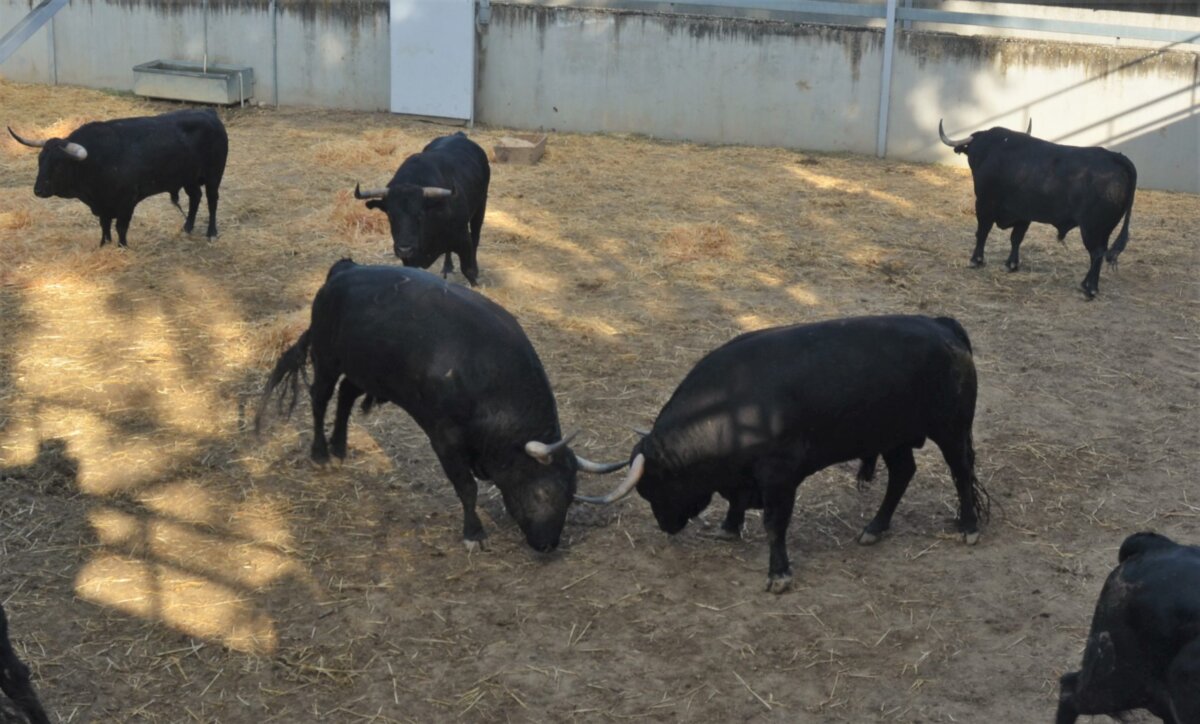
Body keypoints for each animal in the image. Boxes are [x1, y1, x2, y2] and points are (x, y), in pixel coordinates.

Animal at [8, 109, 227, 248]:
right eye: (40, 160)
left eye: (59, 164)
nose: (38, 190)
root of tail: (209, 113)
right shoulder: (103, 205)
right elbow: (105, 225)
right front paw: (104, 245)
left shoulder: (127, 202)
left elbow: (121, 227)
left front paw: (123, 247)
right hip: (188, 178)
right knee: (195, 197)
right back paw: (187, 227)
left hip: (213, 175)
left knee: (212, 201)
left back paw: (211, 233)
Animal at [255, 259, 624, 553]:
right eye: (543, 492)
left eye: (571, 493)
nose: (548, 545)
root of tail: (345, 269)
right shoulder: (445, 437)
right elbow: (467, 487)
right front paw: (474, 533)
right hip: (327, 358)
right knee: (320, 398)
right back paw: (320, 453)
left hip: (364, 369)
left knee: (346, 395)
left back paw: (340, 448)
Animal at [354, 132, 490, 286]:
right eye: (390, 215)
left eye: (420, 215)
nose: (404, 249)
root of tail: (459, 135)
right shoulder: (409, 259)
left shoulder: (463, 240)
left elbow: (468, 270)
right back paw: (447, 267)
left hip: (481, 206)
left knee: (476, 237)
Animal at [576, 315, 989, 594]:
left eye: (655, 488)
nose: (666, 525)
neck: (729, 404)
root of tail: (941, 325)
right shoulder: (744, 476)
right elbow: (737, 502)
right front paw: (729, 528)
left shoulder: (779, 477)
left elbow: (775, 524)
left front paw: (778, 574)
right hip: (894, 438)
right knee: (903, 473)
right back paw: (874, 528)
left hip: (951, 430)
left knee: (960, 471)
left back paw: (968, 526)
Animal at [938, 119, 1136, 298]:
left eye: (975, 150)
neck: (992, 151)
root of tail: (1115, 157)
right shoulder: (1023, 214)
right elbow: (1016, 238)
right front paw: (1011, 264)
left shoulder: (985, 204)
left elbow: (982, 232)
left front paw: (976, 260)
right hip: (1103, 230)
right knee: (1100, 253)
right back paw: (1086, 284)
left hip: (1092, 229)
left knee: (1096, 254)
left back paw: (1090, 289)